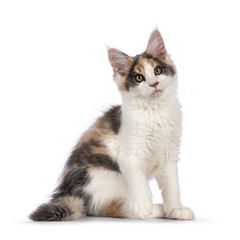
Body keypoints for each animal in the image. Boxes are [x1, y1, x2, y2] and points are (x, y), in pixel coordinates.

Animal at [30, 28, 195, 221]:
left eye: (158, 70)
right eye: (139, 78)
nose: (154, 84)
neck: (155, 110)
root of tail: (71, 191)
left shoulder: (168, 156)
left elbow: (172, 188)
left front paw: (176, 210)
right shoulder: (130, 156)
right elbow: (140, 185)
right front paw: (144, 206)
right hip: (108, 177)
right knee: (111, 208)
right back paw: (152, 210)